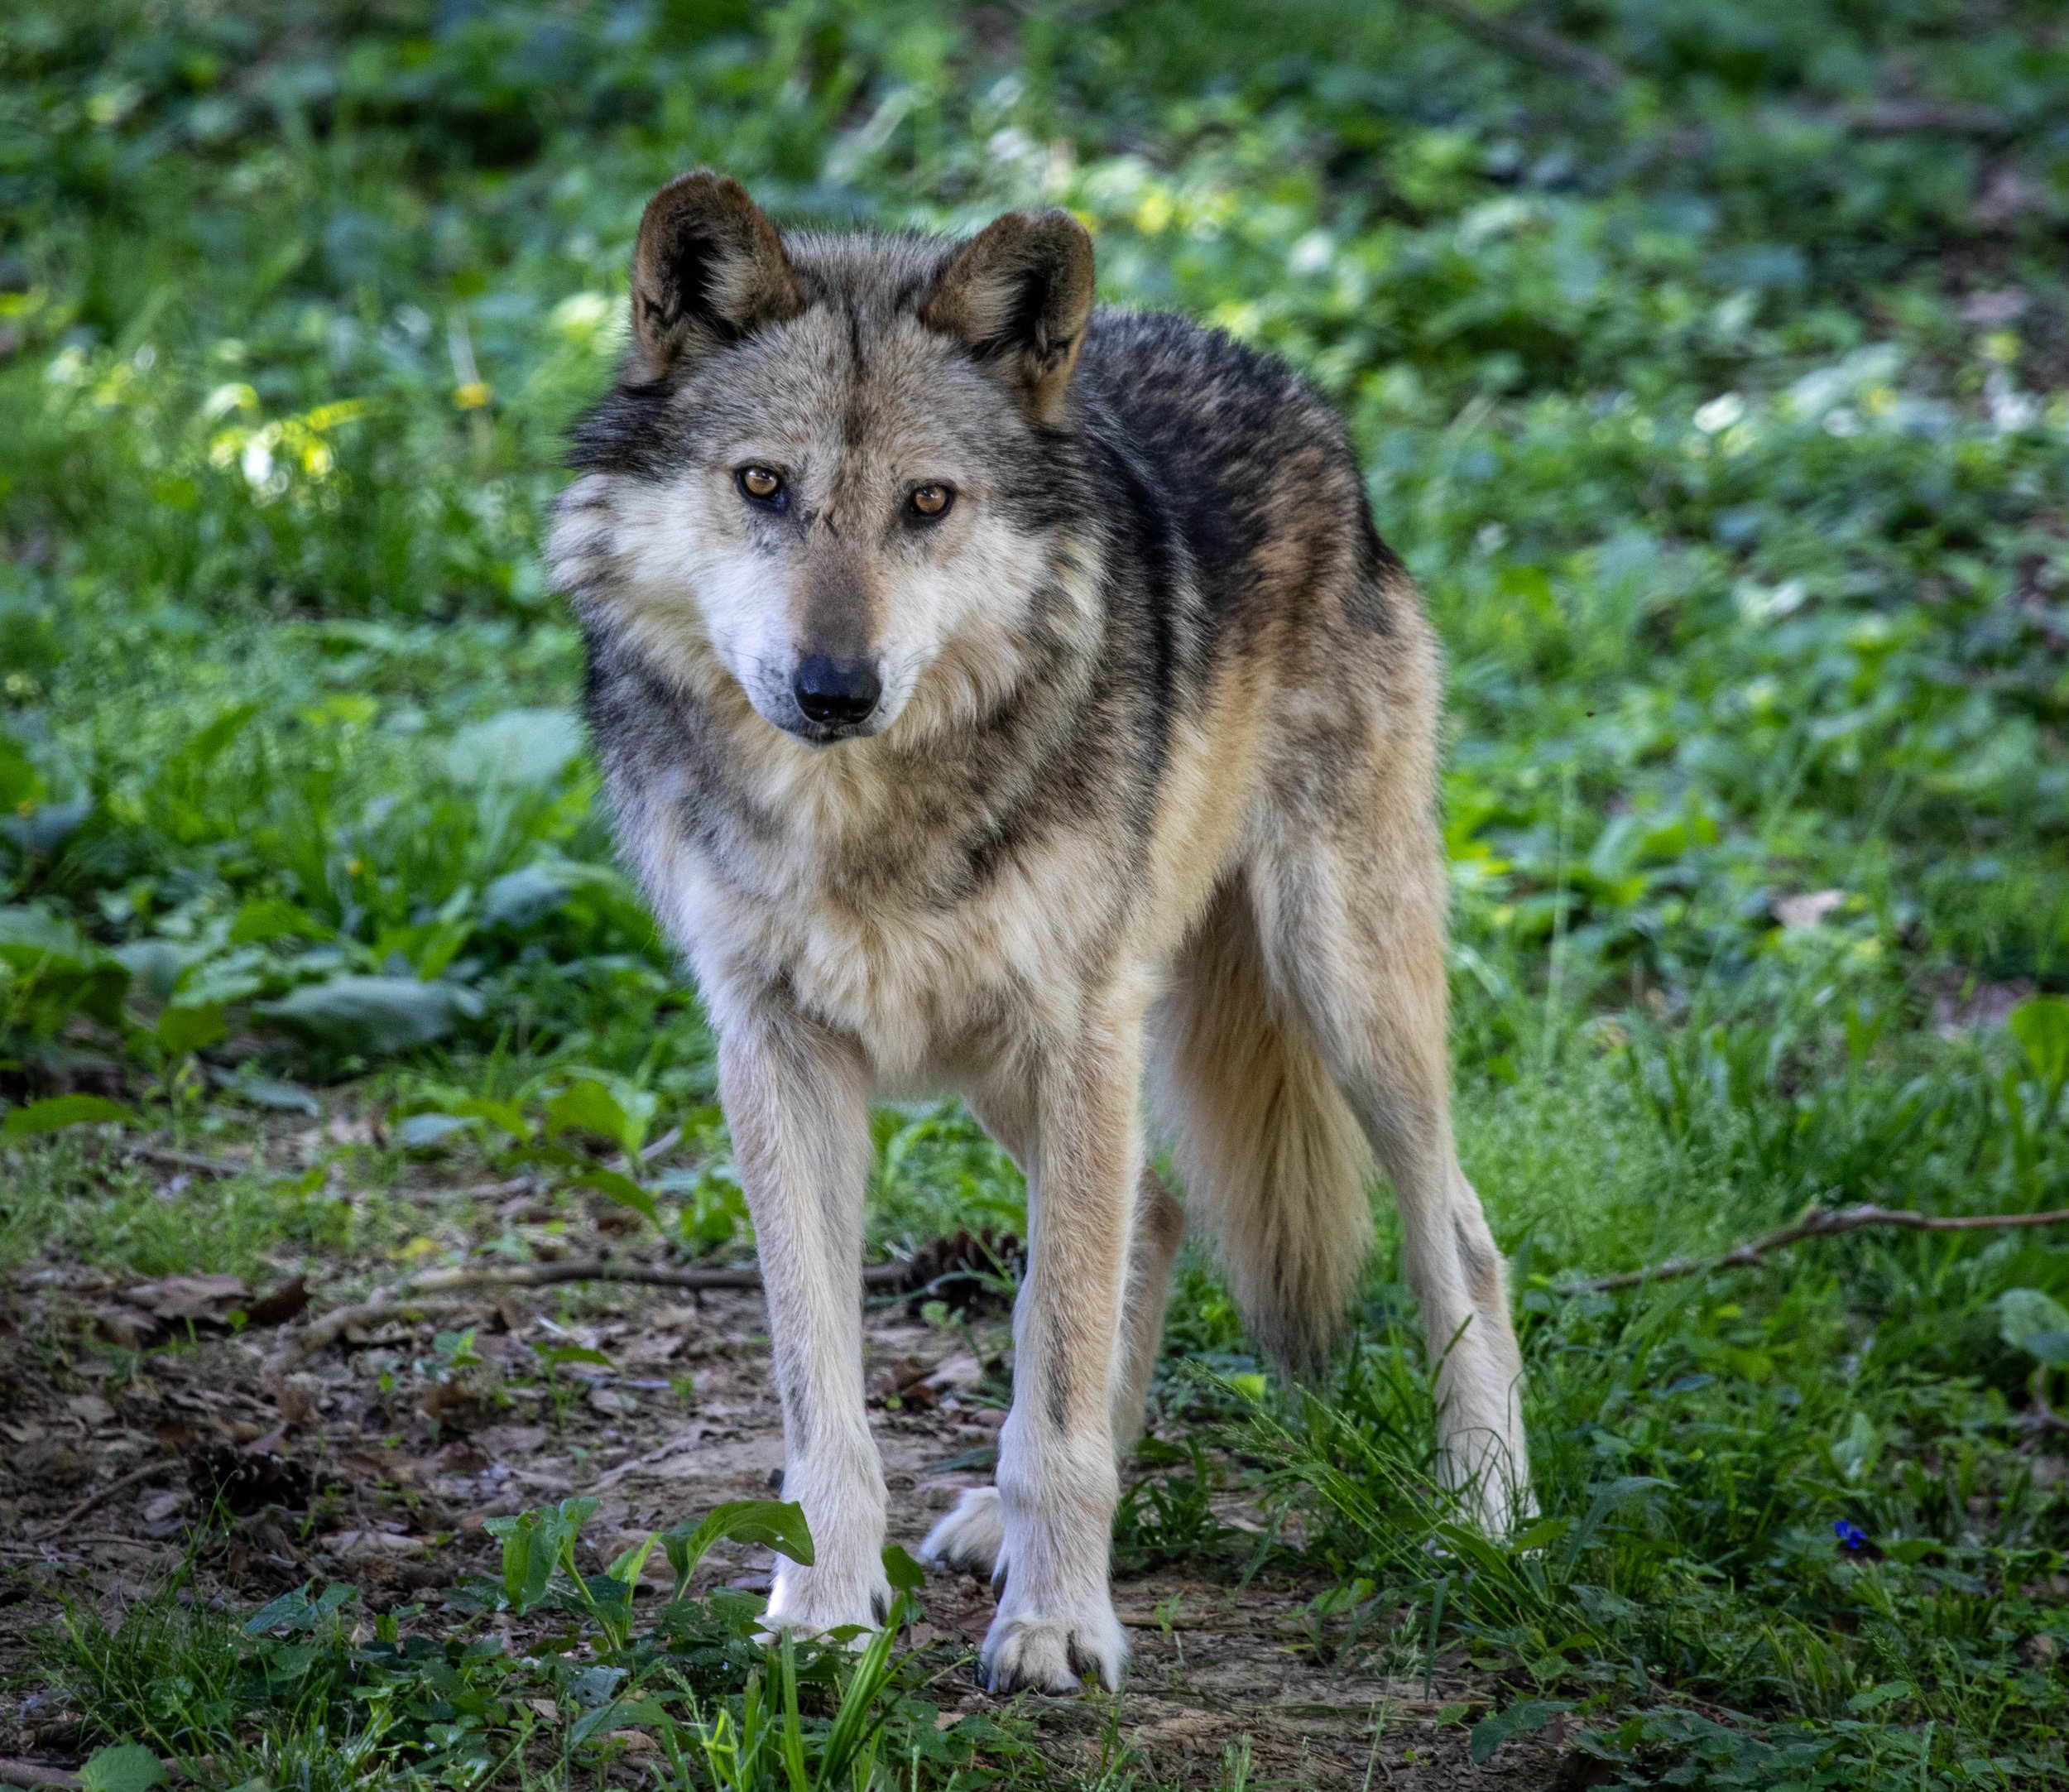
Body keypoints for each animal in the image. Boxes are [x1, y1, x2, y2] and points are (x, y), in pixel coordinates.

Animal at [548, 171, 1530, 1694]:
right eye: (763, 485)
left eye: (927, 504)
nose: (835, 688)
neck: (864, 816)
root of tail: (1280, 378)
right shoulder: (775, 1051)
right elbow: (824, 1397)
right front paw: (824, 1612)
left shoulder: (1079, 1033)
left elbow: (1053, 1368)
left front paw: (1061, 1624)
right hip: (1045, 1069)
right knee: (1164, 1211)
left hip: (1331, 993)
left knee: (1460, 1236)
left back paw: (1485, 1515)